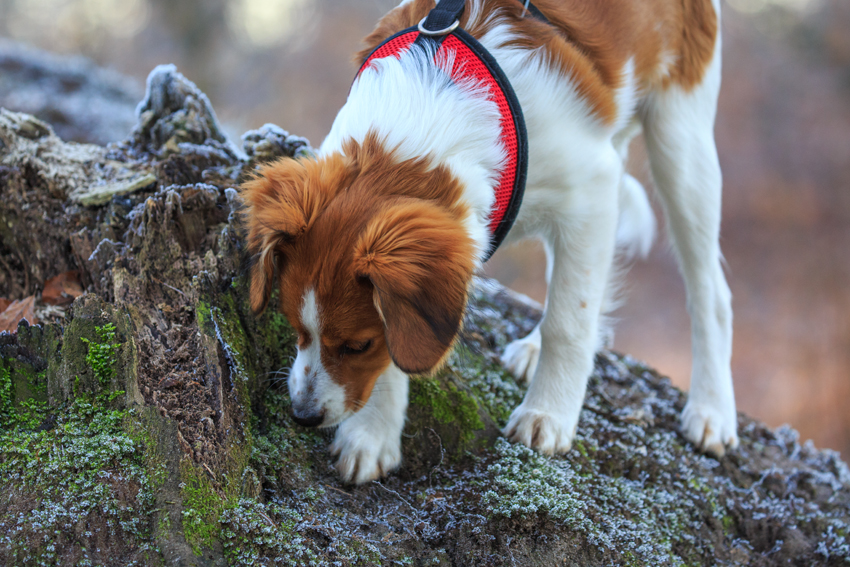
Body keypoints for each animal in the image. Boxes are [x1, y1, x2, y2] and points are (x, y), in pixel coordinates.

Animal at [240, 0, 736, 484]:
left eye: (356, 346)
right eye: (296, 328)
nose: (303, 416)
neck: (431, 105)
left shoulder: (592, 189)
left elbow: (569, 321)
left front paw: (548, 413)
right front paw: (373, 434)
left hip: (681, 142)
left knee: (709, 291)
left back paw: (712, 409)